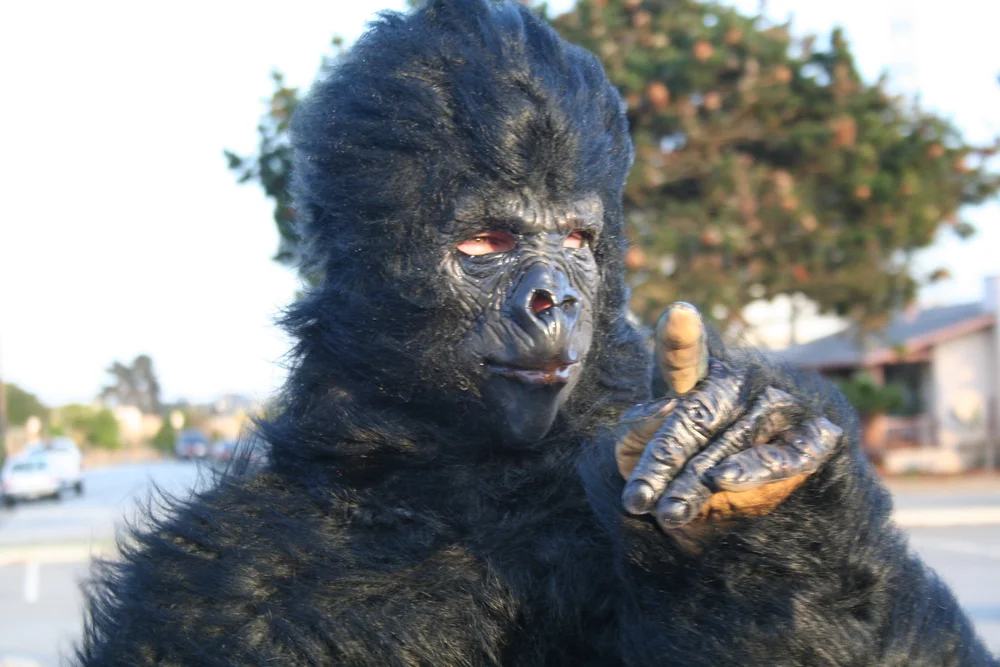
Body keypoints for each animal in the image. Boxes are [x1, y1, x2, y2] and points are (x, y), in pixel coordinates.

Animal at [76, 1, 997, 665]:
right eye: (489, 243)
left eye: (579, 241)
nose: (555, 301)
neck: (458, 478)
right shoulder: (197, 576)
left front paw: (757, 464)